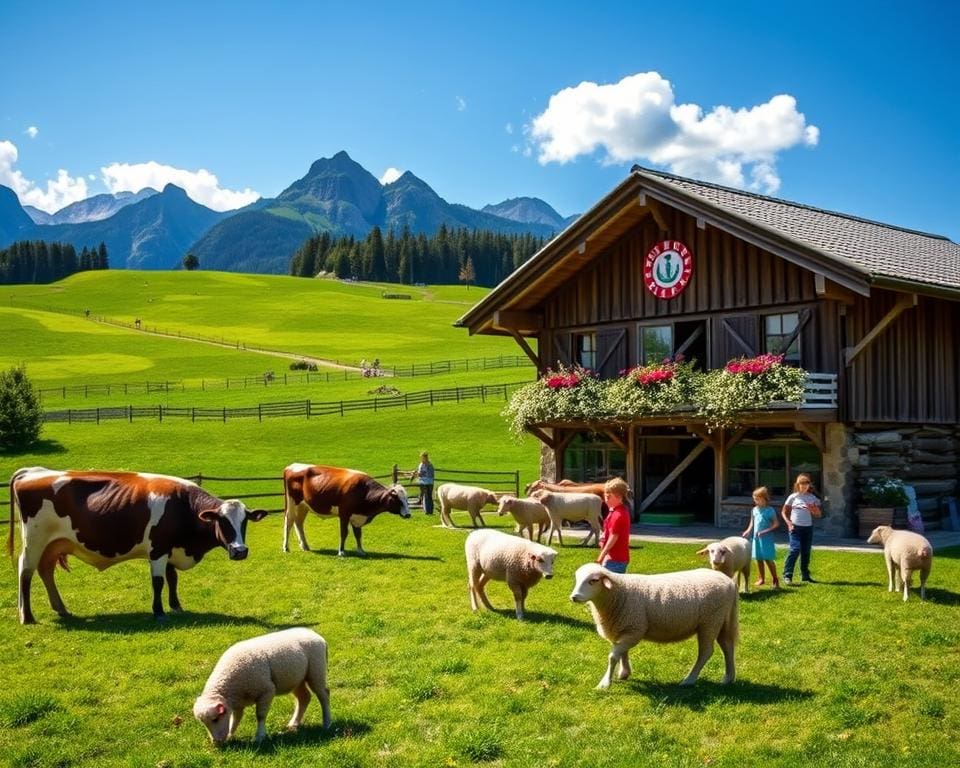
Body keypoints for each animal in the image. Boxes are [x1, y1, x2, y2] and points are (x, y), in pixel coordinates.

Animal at [7, 468, 266, 624]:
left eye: (244, 521)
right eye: (222, 521)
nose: (240, 551)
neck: (182, 505)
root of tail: (33, 471)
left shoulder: (170, 549)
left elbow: (172, 579)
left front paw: (176, 606)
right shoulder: (158, 549)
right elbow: (158, 581)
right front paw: (159, 611)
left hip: (53, 545)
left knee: (46, 571)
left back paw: (61, 608)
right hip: (34, 541)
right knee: (25, 571)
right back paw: (27, 616)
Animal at [193, 624, 332, 744]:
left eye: (215, 719)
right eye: (203, 723)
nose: (216, 742)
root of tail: (318, 637)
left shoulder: (267, 691)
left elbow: (260, 716)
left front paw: (259, 736)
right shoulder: (238, 701)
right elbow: (236, 718)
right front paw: (230, 735)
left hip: (316, 670)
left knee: (324, 695)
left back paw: (327, 723)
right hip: (295, 679)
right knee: (304, 697)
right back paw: (294, 723)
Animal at [568, 564, 744, 688]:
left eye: (593, 580)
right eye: (577, 579)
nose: (574, 597)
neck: (618, 592)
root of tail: (729, 582)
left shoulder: (634, 629)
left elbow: (613, 657)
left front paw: (604, 684)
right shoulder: (624, 629)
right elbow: (622, 653)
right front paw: (624, 673)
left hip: (710, 621)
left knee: (706, 652)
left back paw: (689, 679)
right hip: (722, 620)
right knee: (727, 646)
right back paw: (728, 678)